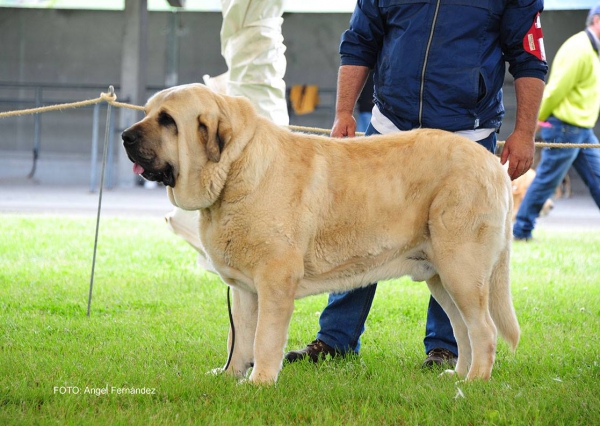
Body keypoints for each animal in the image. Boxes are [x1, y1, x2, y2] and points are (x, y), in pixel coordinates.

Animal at [122, 83, 520, 386]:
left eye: (167, 120)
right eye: (148, 112)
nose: (125, 136)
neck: (235, 167)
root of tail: (494, 164)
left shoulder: (275, 283)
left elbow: (264, 338)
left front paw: (259, 382)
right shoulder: (245, 290)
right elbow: (239, 337)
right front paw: (230, 376)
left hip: (461, 270)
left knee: (483, 330)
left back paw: (474, 382)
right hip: (442, 276)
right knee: (463, 328)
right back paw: (457, 375)